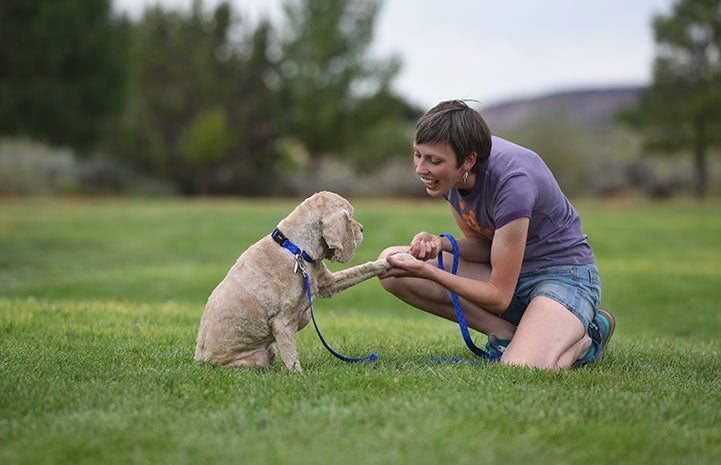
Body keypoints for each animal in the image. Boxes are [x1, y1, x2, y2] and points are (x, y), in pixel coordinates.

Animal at [194, 190, 410, 372]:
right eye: (350, 216)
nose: (363, 229)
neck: (297, 249)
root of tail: (199, 362)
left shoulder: (327, 284)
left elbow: (367, 267)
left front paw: (401, 257)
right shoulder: (282, 323)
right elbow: (292, 359)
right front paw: (298, 376)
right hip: (253, 359)